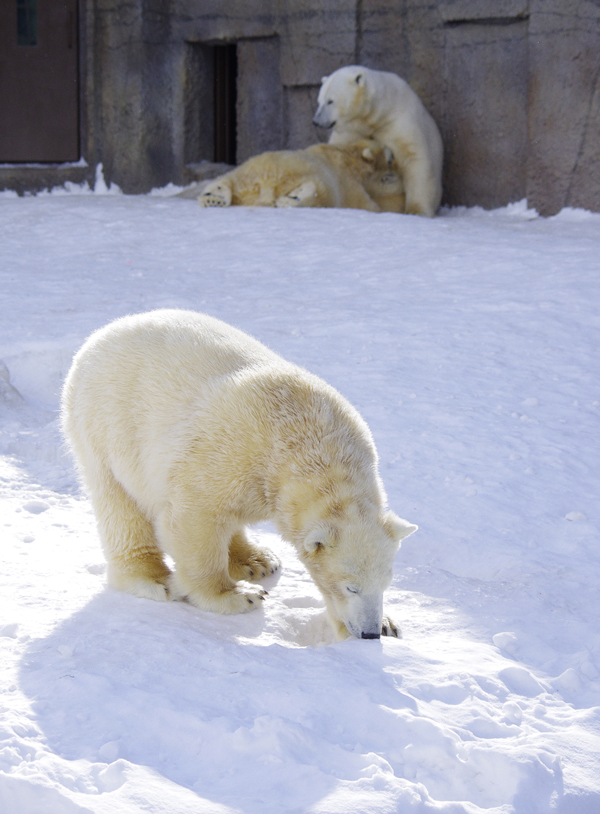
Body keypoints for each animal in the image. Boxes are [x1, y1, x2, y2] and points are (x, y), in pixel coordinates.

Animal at [62, 310, 418, 640]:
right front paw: (237, 596)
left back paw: (257, 560)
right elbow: (193, 519)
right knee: (119, 504)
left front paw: (388, 623)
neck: (309, 445)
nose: (369, 633)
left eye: (386, 583)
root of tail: (101, 334)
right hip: (107, 426)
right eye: (350, 587)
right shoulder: (227, 453)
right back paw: (153, 578)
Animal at [199, 141, 406, 215]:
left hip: (252, 170)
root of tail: (267, 183)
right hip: (315, 176)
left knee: (230, 179)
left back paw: (213, 198)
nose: (395, 158)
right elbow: (368, 204)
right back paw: (291, 199)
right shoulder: (348, 182)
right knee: (318, 191)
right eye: (390, 157)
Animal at [312, 64, 442, 217]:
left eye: (330, 101)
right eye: (319, 101)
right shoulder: (351, 132)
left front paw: (416, 211)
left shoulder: (398, 123)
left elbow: (414, 158)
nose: (316, 121)